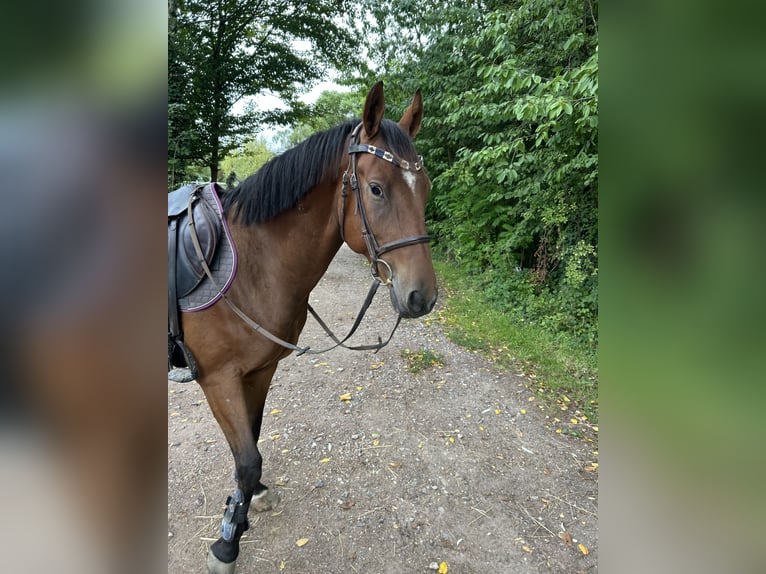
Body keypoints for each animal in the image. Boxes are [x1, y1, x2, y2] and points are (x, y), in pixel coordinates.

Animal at [176, 82, 438, 574]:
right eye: (376, 189)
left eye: (426, 189)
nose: (422, 297)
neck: (254, 265)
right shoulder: (218, 379)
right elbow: (247, 459)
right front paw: (227, 544)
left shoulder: (260, 371)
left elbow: (252, 443)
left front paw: (245, 505)